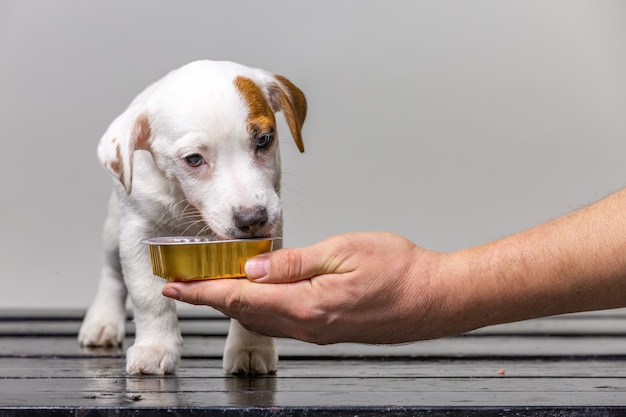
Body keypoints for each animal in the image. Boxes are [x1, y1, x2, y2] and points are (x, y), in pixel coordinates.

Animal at [77, 60, 306, 376]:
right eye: (194, 159)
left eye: (263, 140)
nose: (252, 218)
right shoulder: (137, 233)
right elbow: (148, 297)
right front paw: (155, 348)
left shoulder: (271, 231)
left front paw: (250, 347)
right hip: (114, 230)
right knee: (111, 272)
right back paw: (102, 320)